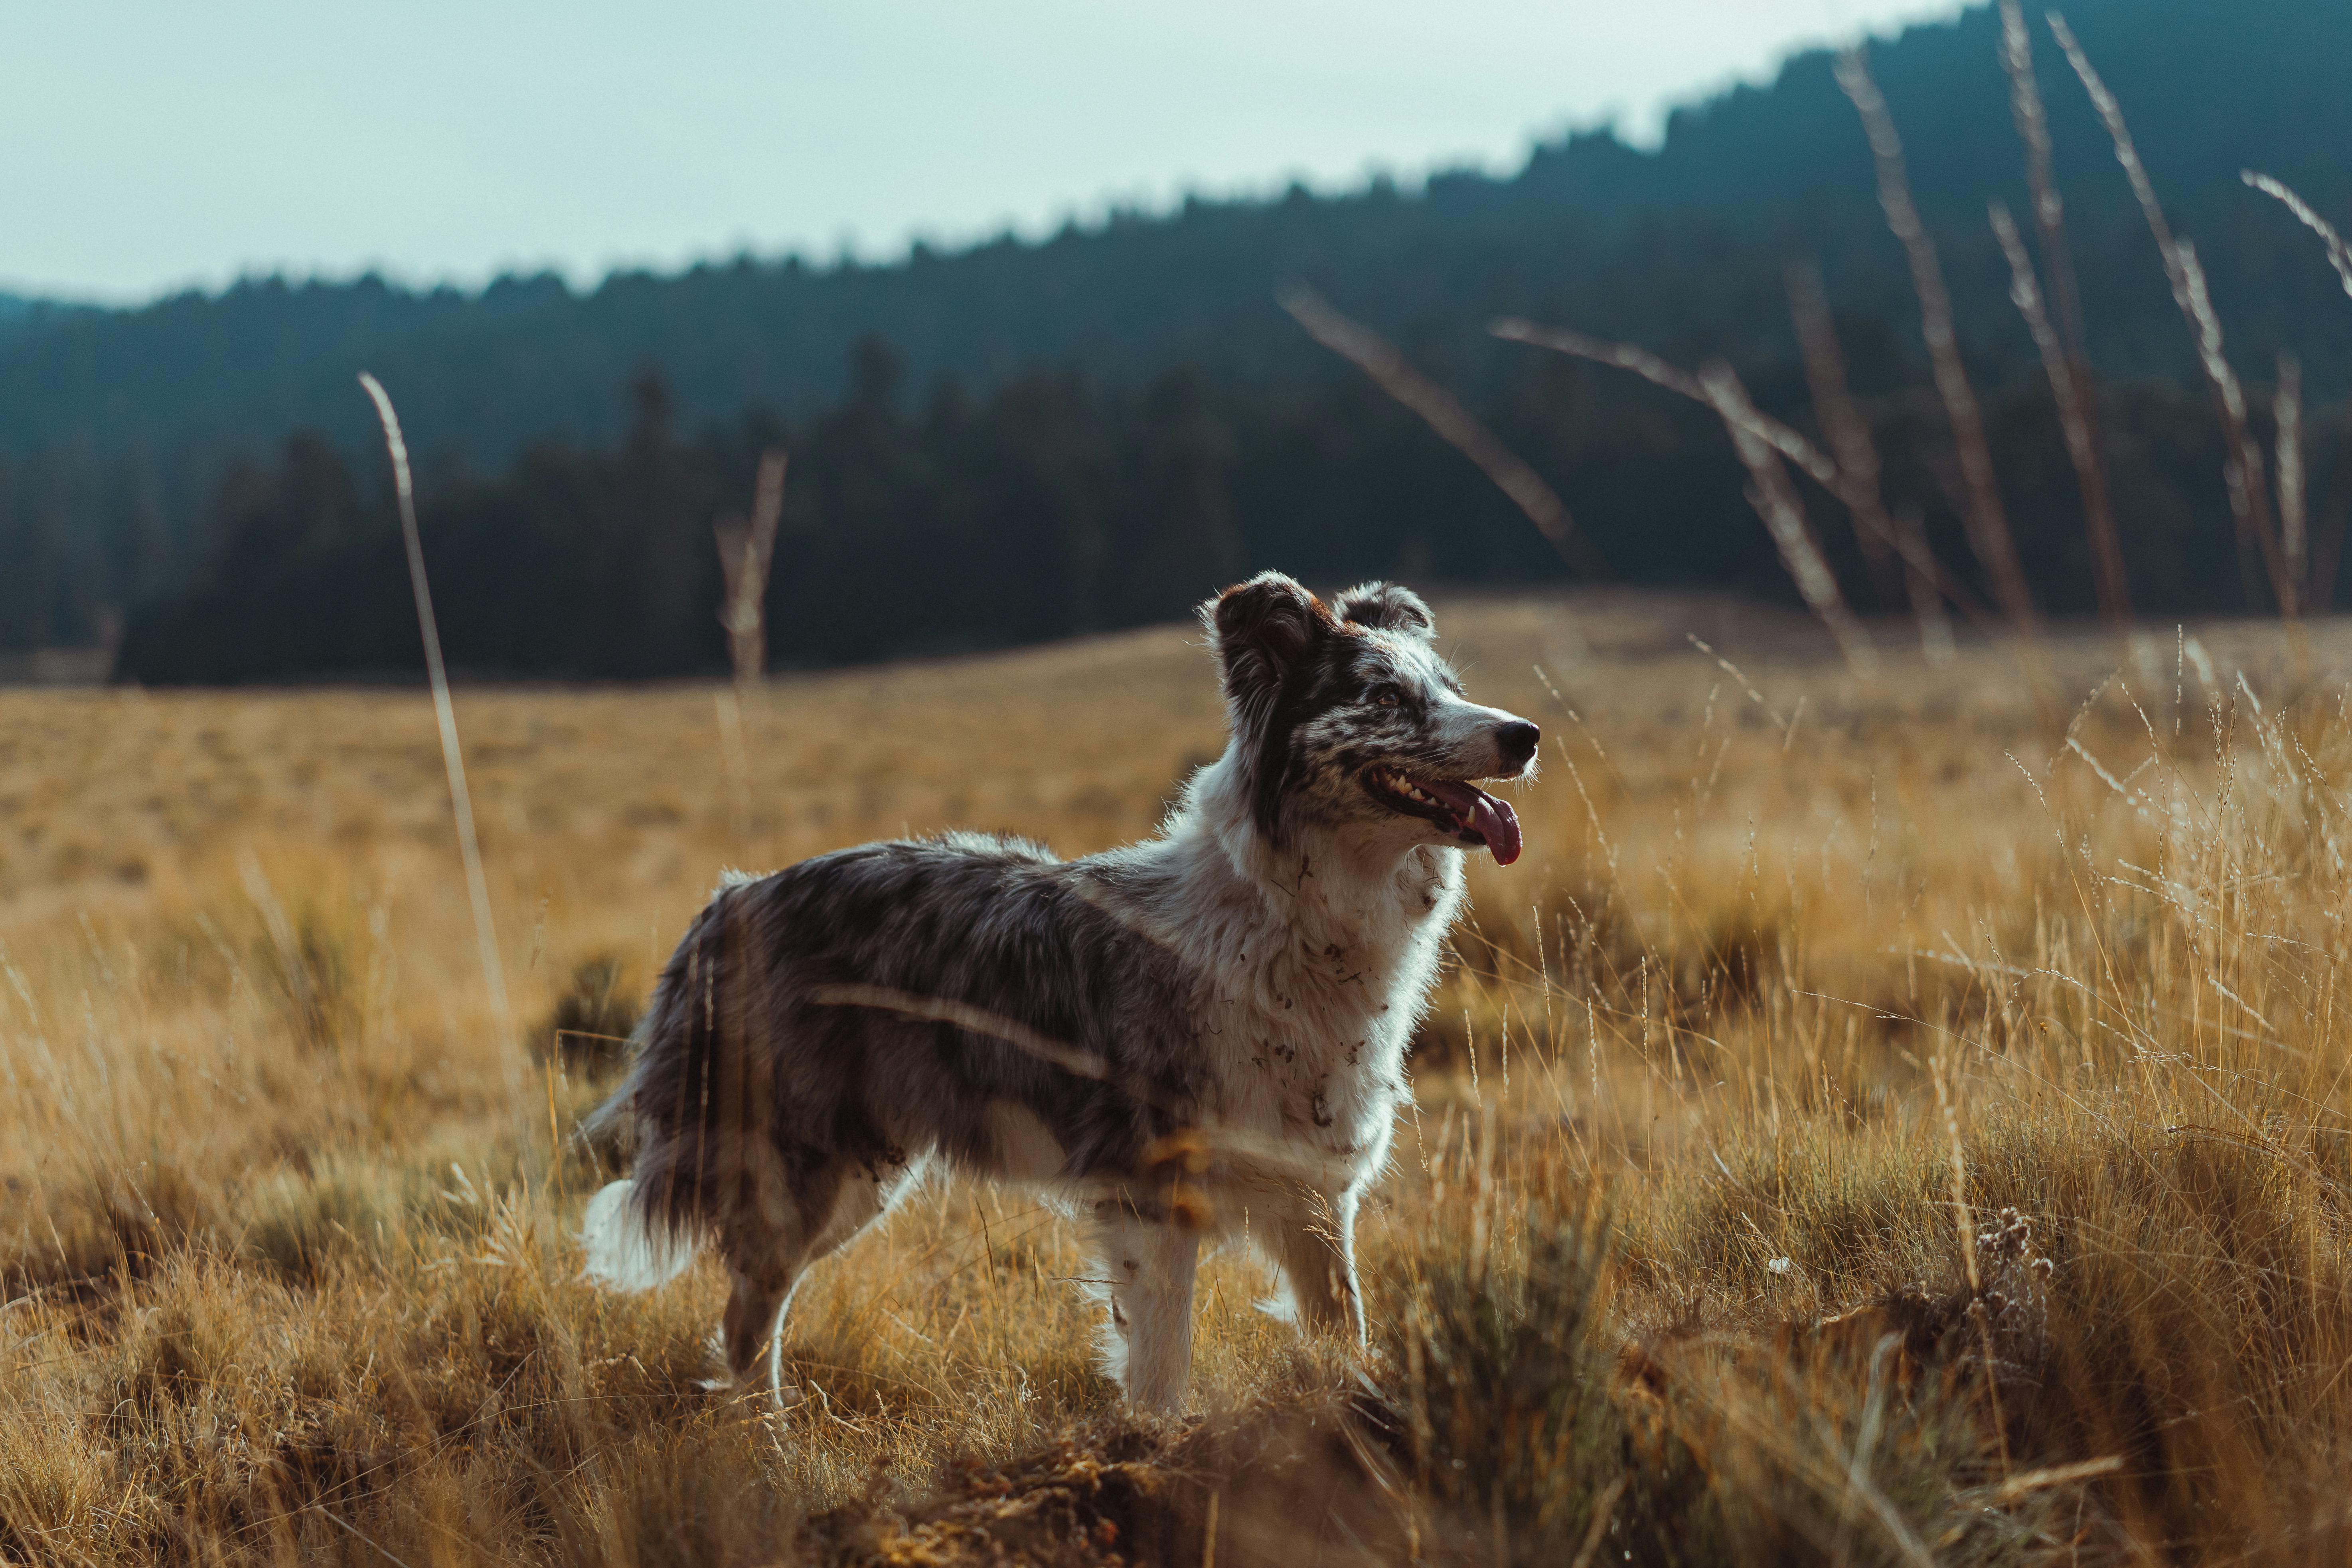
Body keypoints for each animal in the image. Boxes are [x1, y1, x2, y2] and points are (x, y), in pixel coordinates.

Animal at [583, 573, 1543, 1410]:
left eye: (1451, 688)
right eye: (1383, 697)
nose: (1525, 734)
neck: (1296, 919)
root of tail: (731, 899)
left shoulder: (1312, 1194)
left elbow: (1346, 1331)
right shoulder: (1152, 1198)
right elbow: (1160, 1372)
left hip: (857, 1170)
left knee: (754, 1308)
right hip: (807, 1170)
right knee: (750, 1315)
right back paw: (772, 1449)